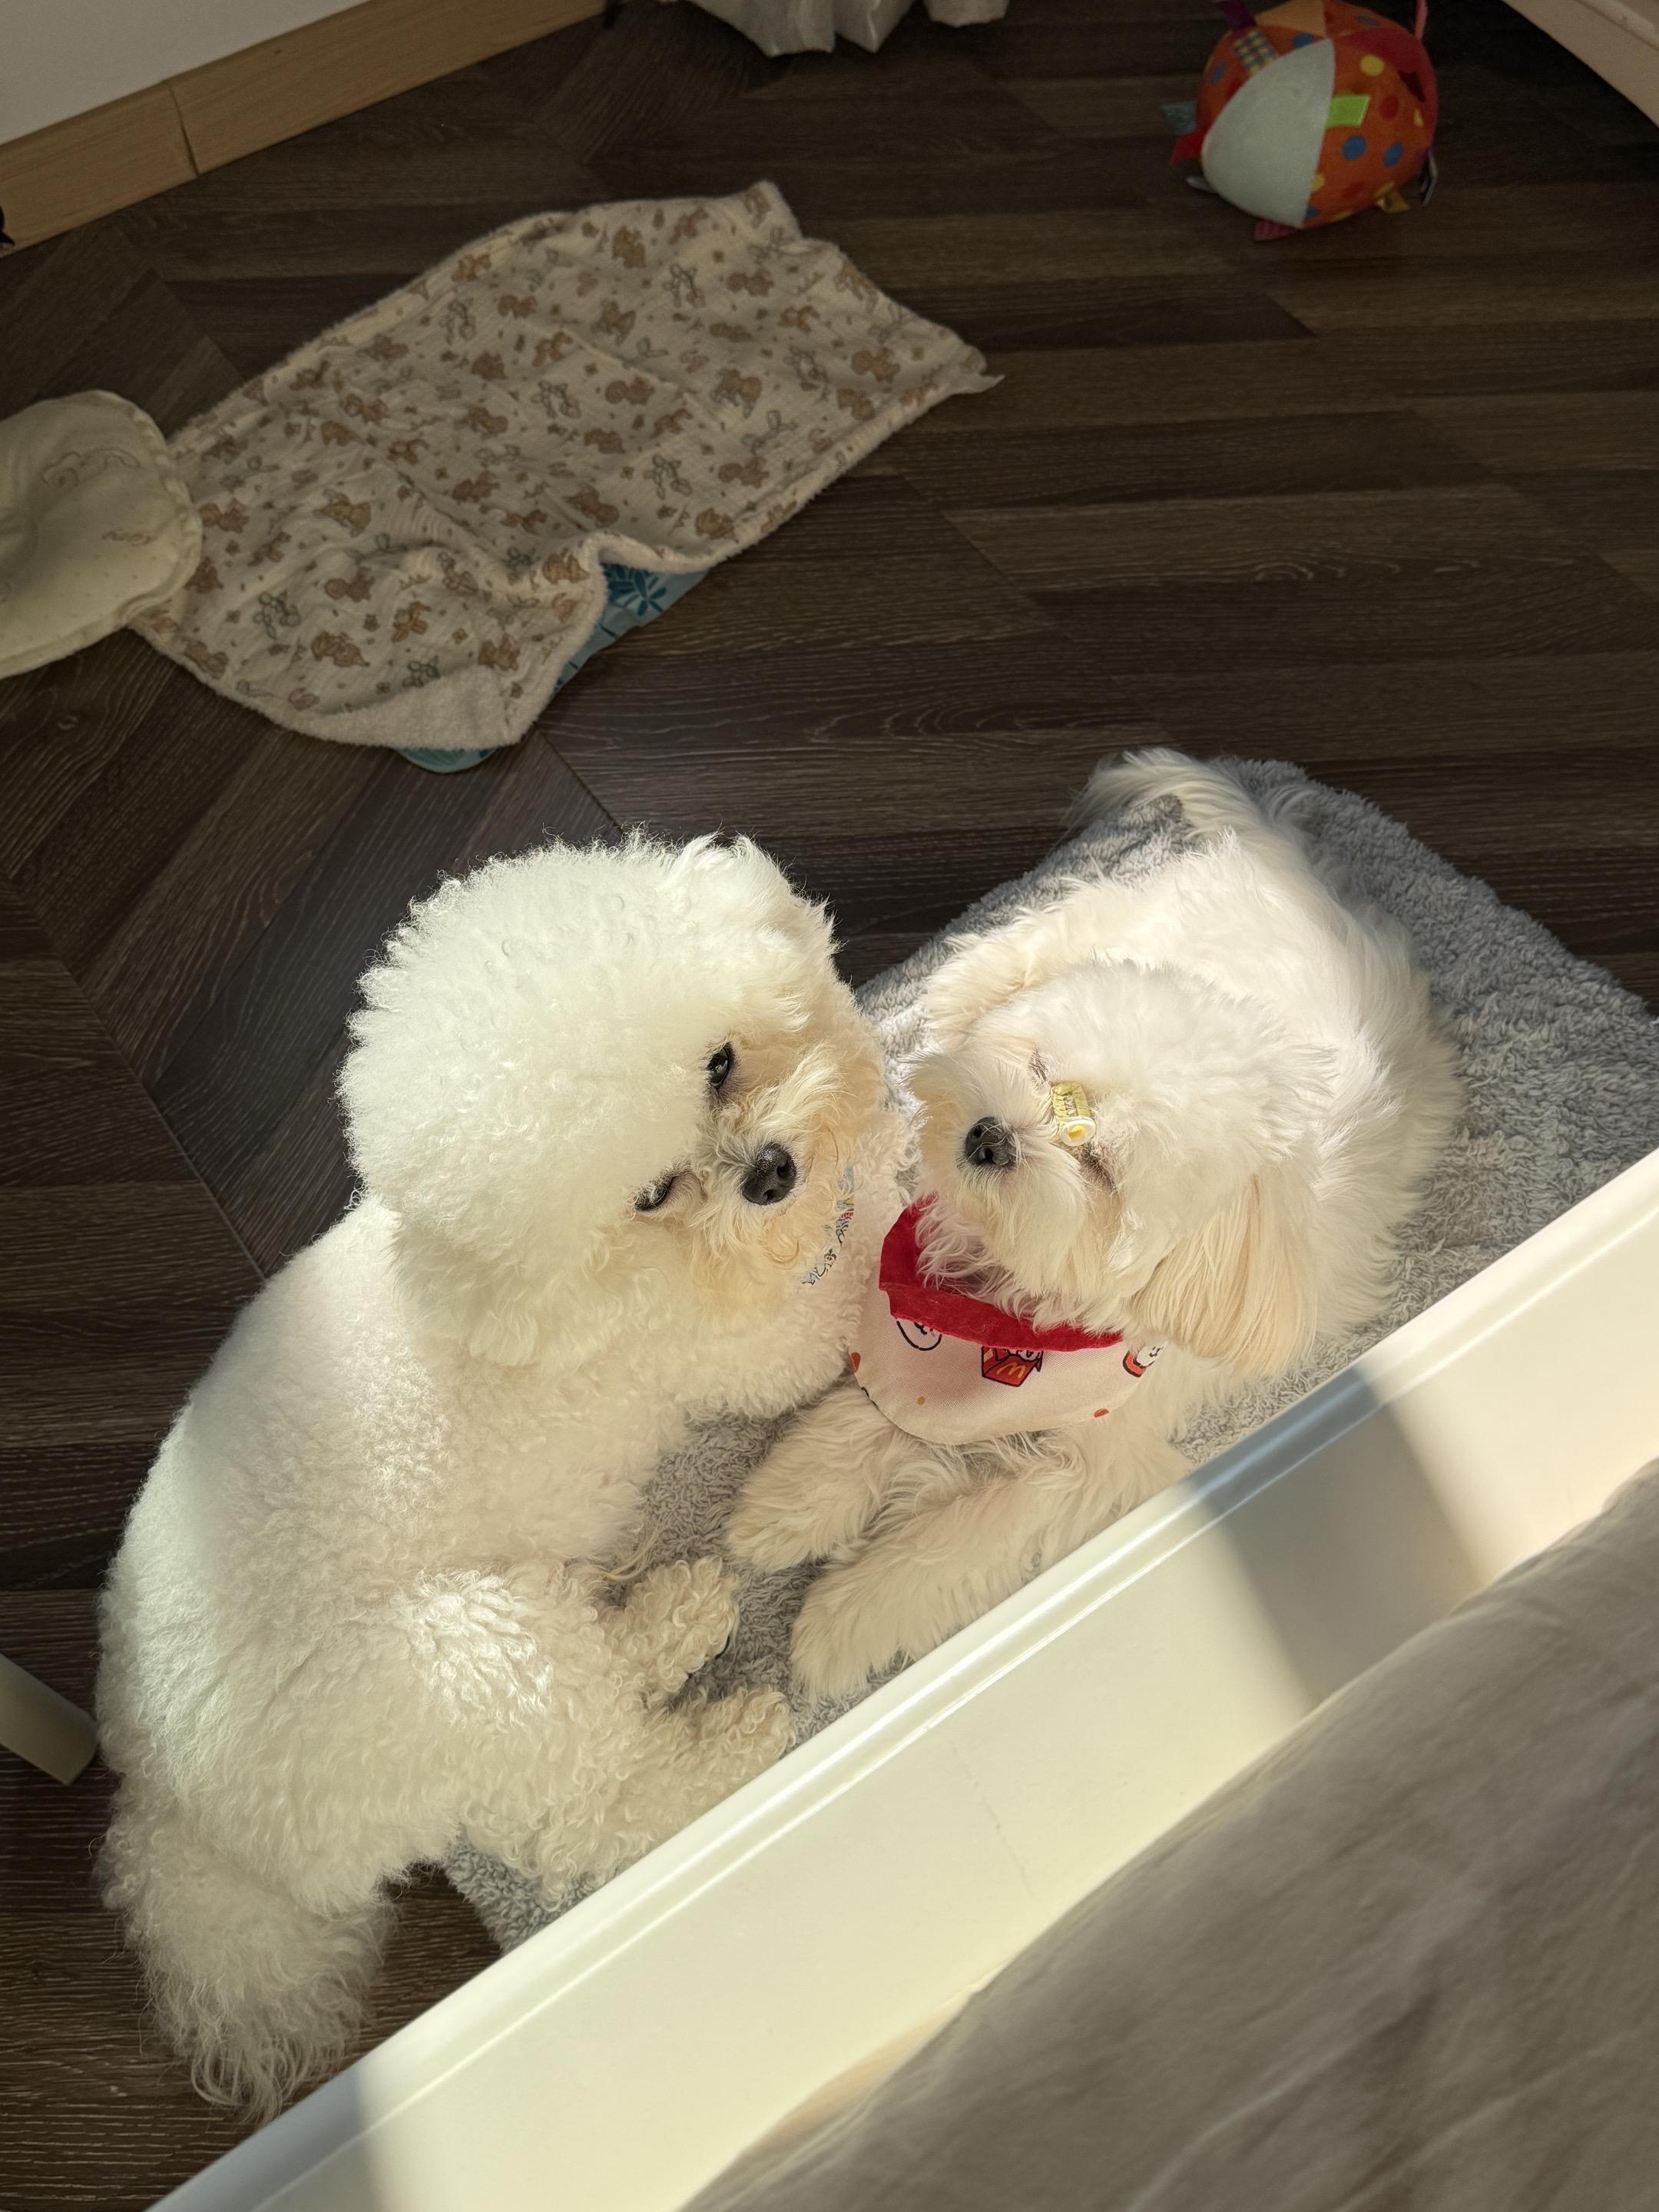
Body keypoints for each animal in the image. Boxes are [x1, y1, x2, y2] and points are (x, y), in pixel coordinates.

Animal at [98, 832, 899, 2116]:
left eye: (720, 1062)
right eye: (649, 1192)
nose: (772, 1172)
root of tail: (167, 1804)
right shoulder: (760, 1350)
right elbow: (856, 1267)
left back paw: (674, 1614)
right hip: (478, 1675)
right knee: (600, 1806)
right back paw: (722, 1738)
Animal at [729, 752, 1460, 1699]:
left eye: (1103, 1168)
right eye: (1044, 1068)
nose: (990, 1135)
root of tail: (1297, 871)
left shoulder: (1089, 1461)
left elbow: (956, 1539)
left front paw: (841, 1622)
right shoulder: (919, 1328)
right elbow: (871, 1413)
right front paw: (789, 1507)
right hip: (1112, 921)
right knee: (1022, 943)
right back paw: (957, 999)